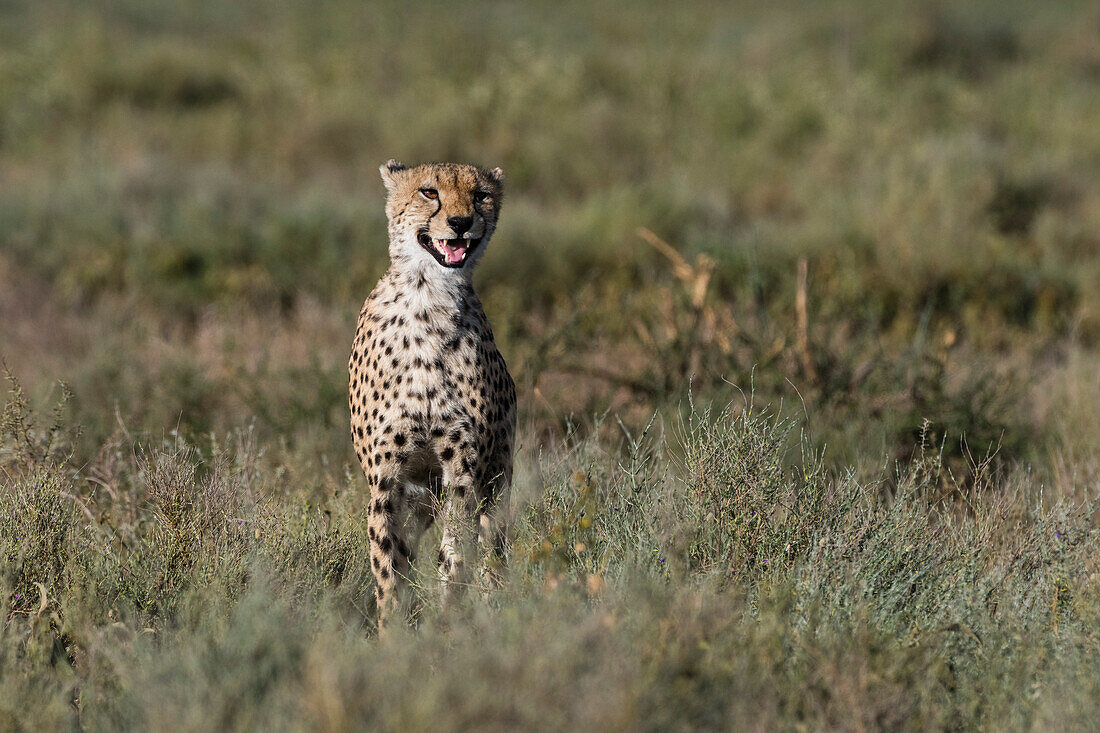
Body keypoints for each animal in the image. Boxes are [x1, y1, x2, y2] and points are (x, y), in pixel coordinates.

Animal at [349, 158, 517, 620]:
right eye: (429, 192)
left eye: (480, 195)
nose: (460, 223)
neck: (430, 296)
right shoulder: (387, 480)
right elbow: (390, 565)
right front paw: (394, 626)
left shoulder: (463, 472)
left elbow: (455, 555)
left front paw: (448, 621)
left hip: (496, 481)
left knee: (492, 549)